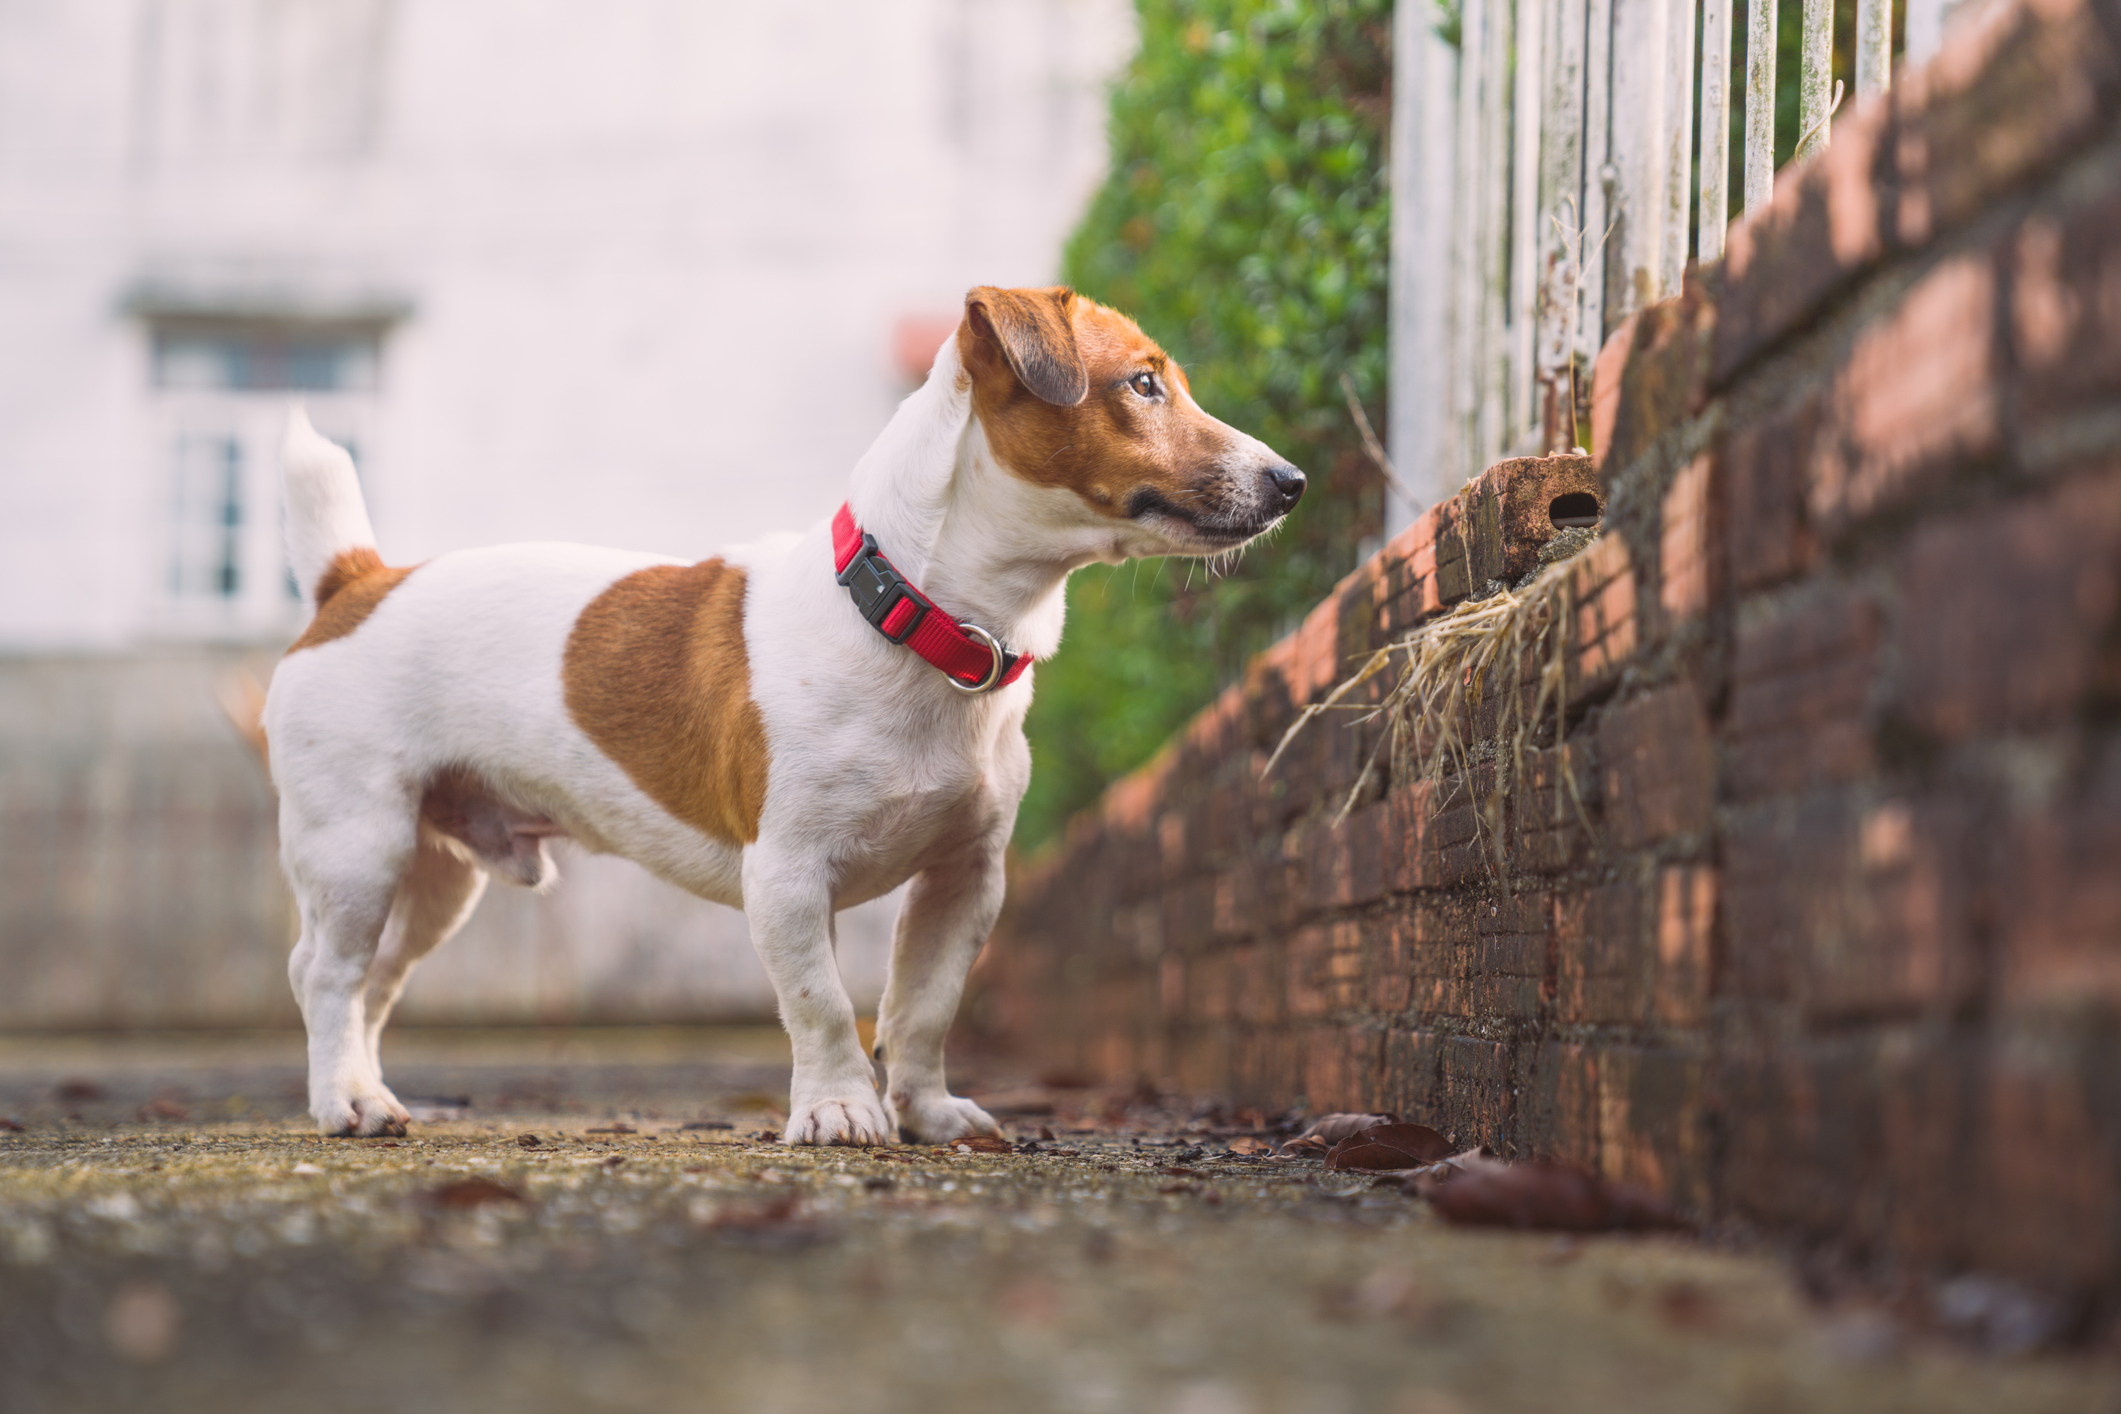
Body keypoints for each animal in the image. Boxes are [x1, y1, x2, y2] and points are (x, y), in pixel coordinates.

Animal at [265, 281, 1289, 1144]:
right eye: (1143, 385)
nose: (1292, 482)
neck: (913, 622)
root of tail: (357, 579)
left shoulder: (964, 878)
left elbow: (924, 1006)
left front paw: (925, 1111)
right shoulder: (790, 876)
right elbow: (824, 1004)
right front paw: (839, 1110)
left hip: (435, 879)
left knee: (373, 982)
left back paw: (364, 1088)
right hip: (359, 848)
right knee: (325, 972)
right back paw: (344, 1102)